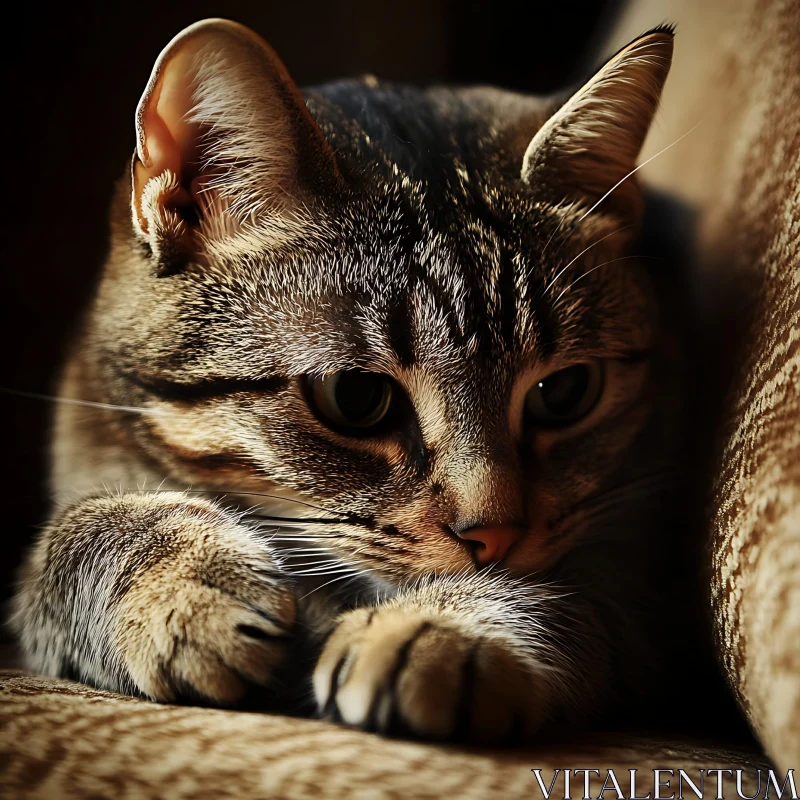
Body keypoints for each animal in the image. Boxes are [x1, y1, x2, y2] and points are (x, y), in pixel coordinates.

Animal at [9, 18, 704, 744]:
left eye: (565, 393)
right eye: (355, 398)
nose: (495, 537)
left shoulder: (647, 578)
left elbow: (567, 588)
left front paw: (440, 624)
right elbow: (76, 534)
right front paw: (178, 580)